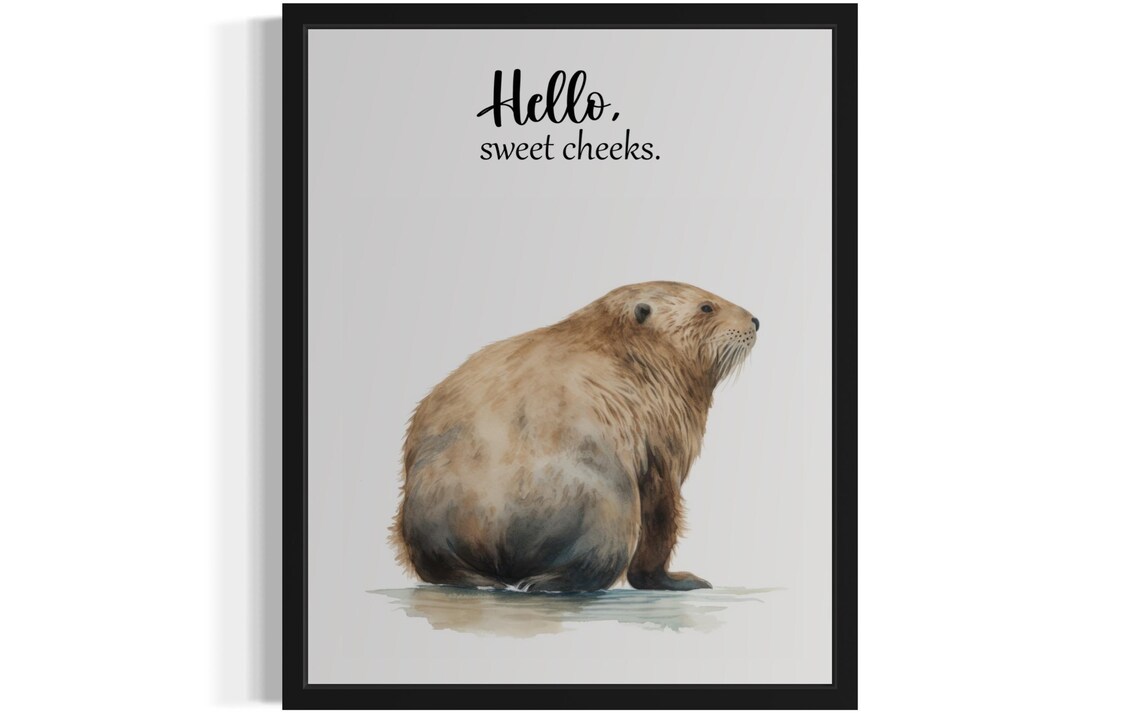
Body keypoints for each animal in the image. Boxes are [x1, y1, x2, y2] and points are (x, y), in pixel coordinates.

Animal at [392, 282, 757, 592]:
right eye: (706, 307)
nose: (755, 320)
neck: (630, 352)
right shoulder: (665, 432)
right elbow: (662, 510)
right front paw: (682, 579)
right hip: (611, 509)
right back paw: (543, 583)